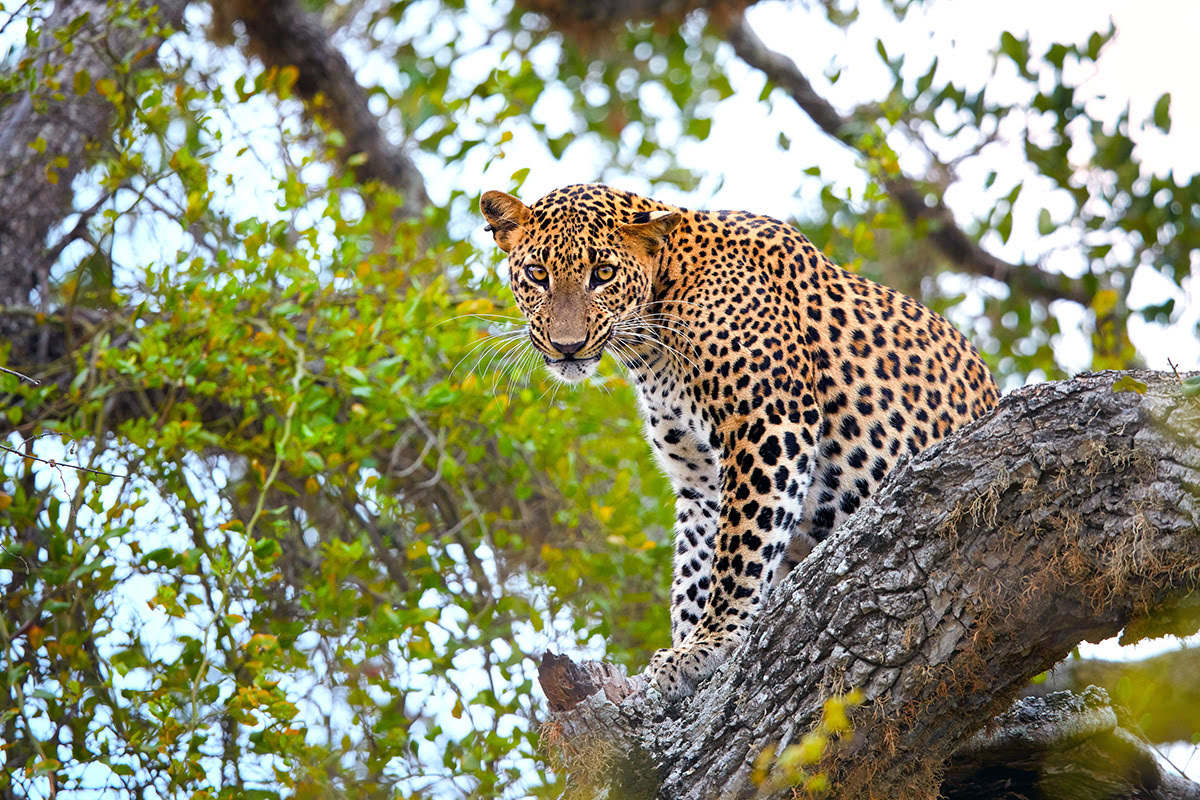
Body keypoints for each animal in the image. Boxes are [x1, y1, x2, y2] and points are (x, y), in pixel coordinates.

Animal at [482, 181, 998, 700]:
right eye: (537, 274)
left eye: (603, 274)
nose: (566, 346)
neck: (652, 343)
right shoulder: (700, 479)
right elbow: (697, 566)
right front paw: (687, 646)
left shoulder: (770, 423)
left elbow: (742, 549)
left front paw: (710, 644)